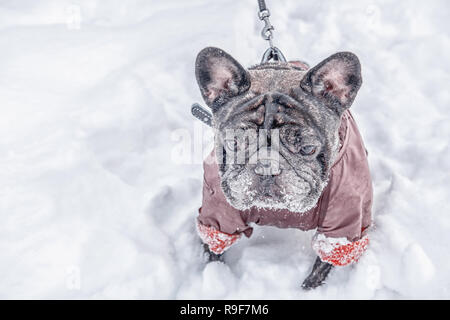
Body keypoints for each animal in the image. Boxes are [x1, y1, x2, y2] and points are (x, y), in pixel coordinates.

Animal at [193, 47, 372, 290]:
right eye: (234, 143)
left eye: (307, 148)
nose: (267, 167)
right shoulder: (218, 214)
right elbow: (214, 248)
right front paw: (215, 277)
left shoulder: (344, 223)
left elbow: (324, 262)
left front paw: (308, 288)